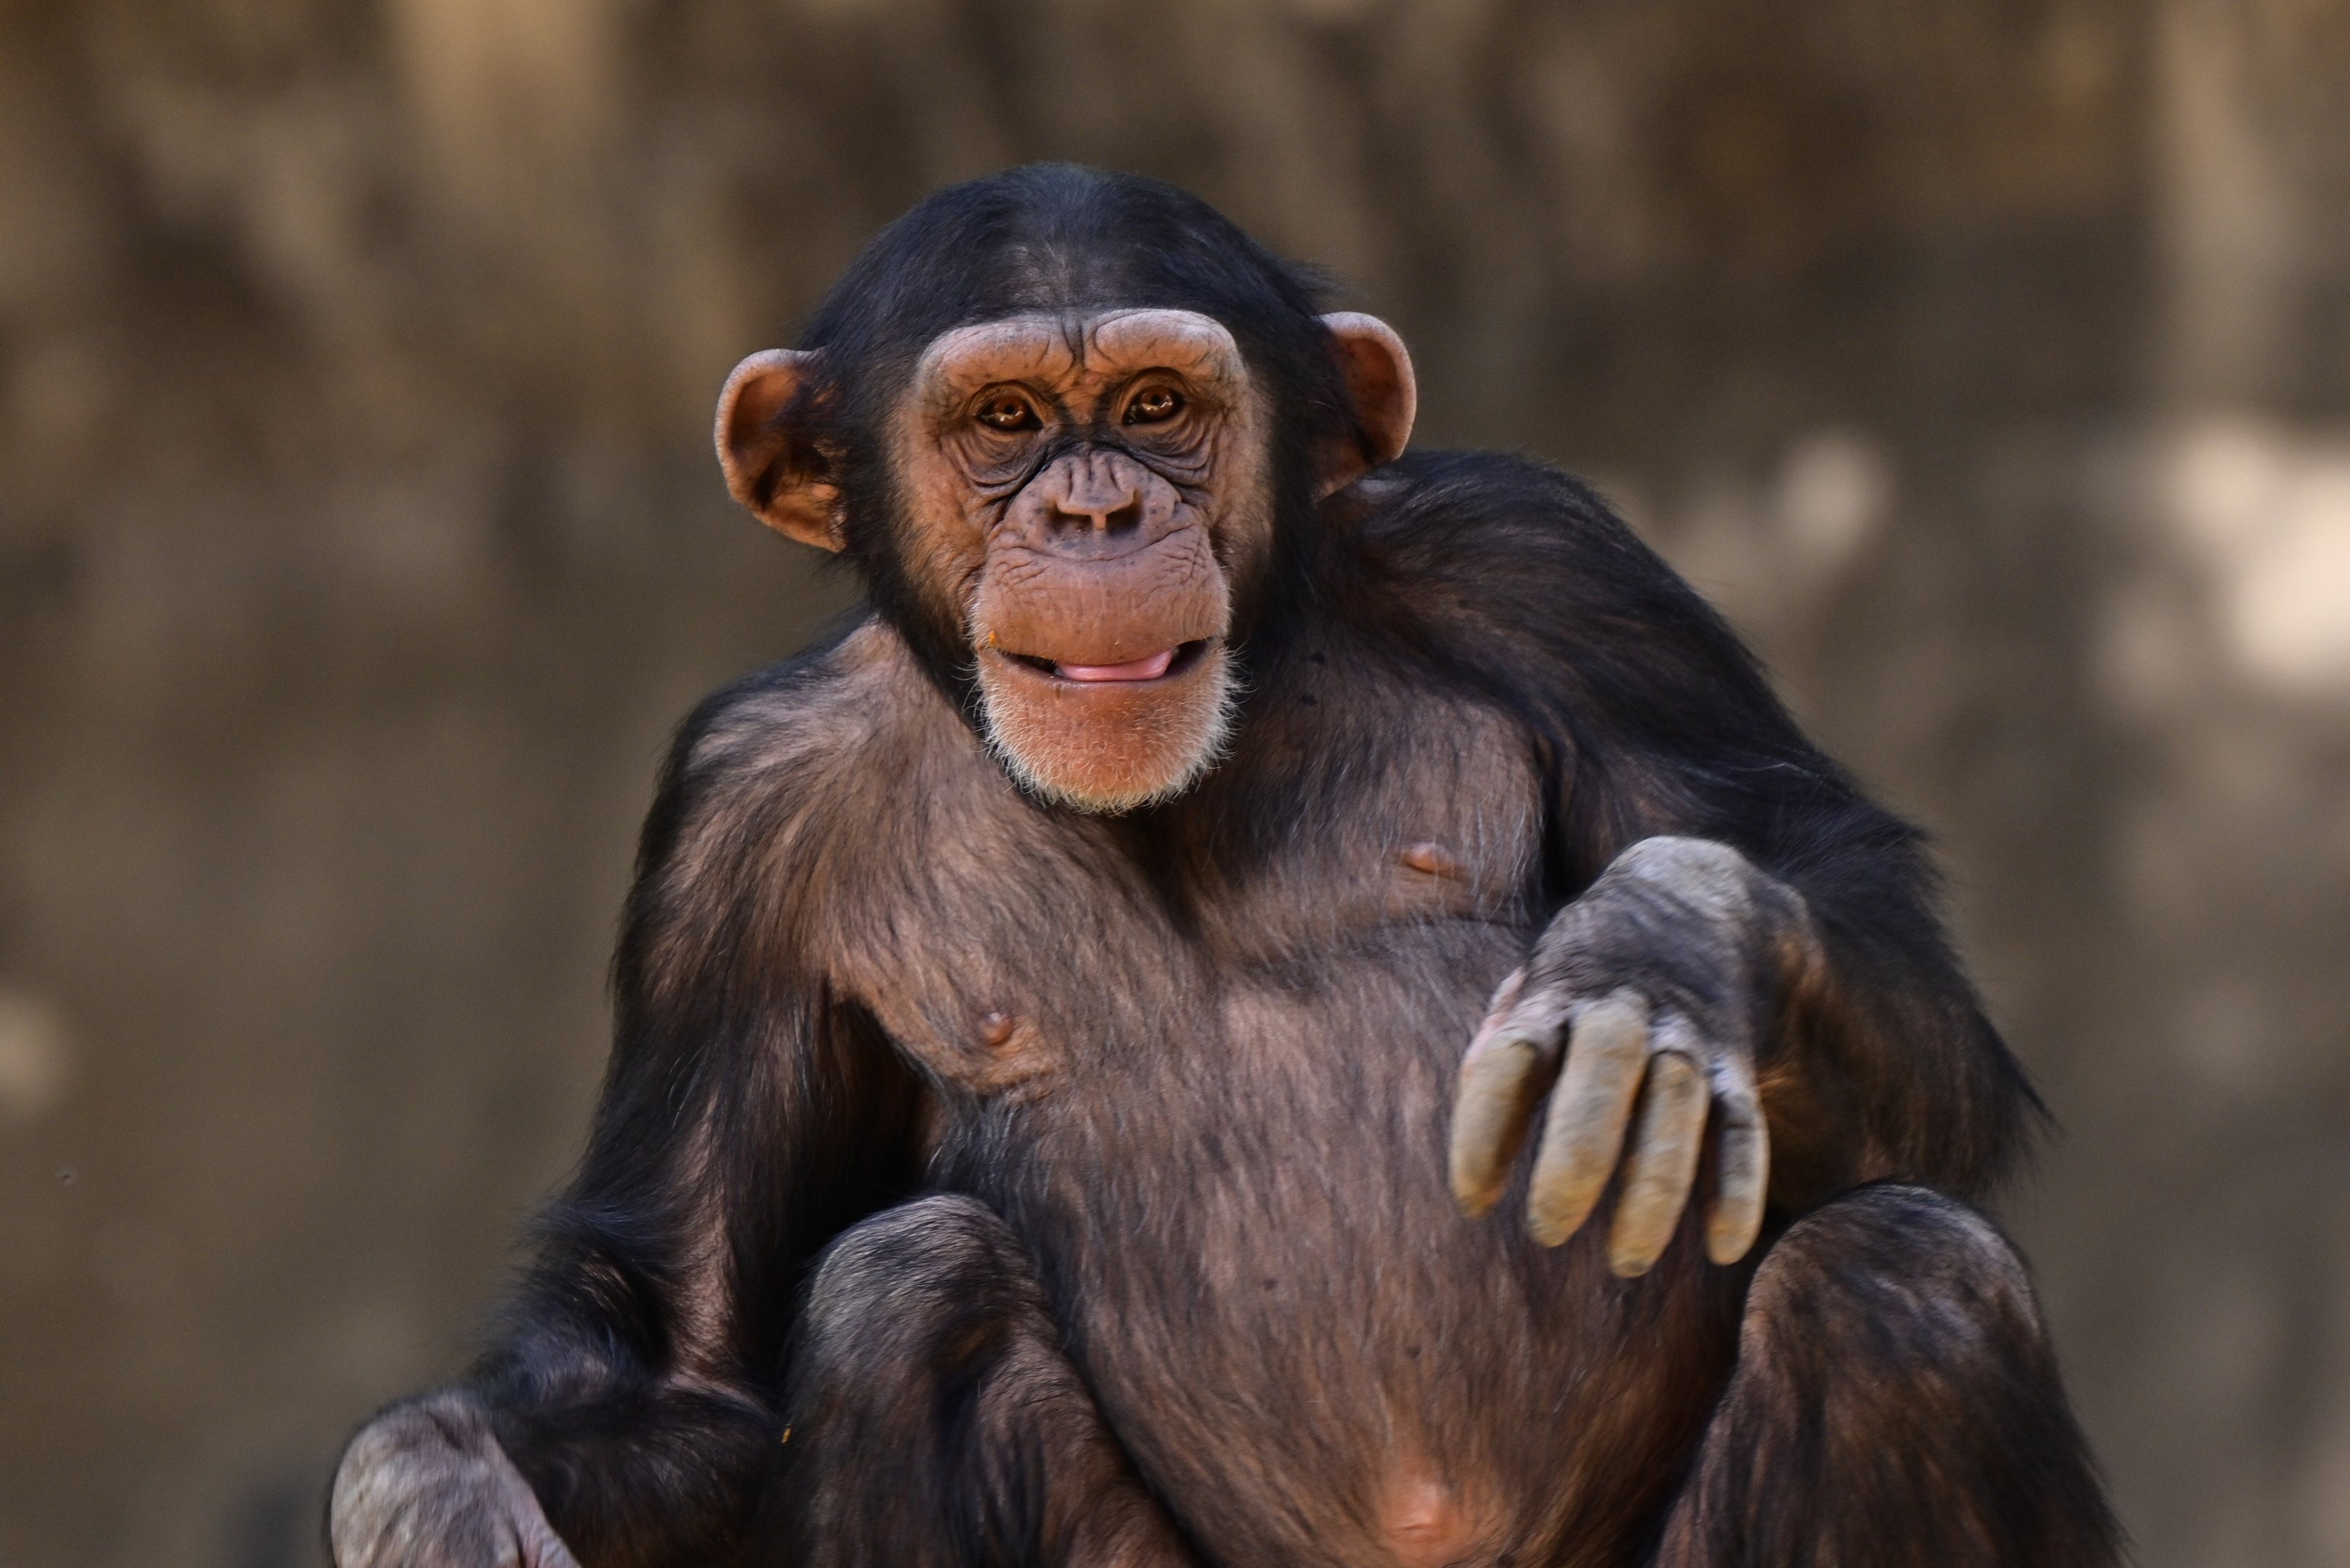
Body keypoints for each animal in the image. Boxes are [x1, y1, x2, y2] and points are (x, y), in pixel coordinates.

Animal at [329, 163, 2118, 1568]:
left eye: (1157, 407)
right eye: (1001, 420)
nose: (1097, 511)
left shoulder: (1550, 566)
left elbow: (1858, 932)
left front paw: (1667, 952)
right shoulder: (731, 835)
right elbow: (690, 1353)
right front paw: (431, 1483)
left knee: (1904, 1287)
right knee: (905, 1298)